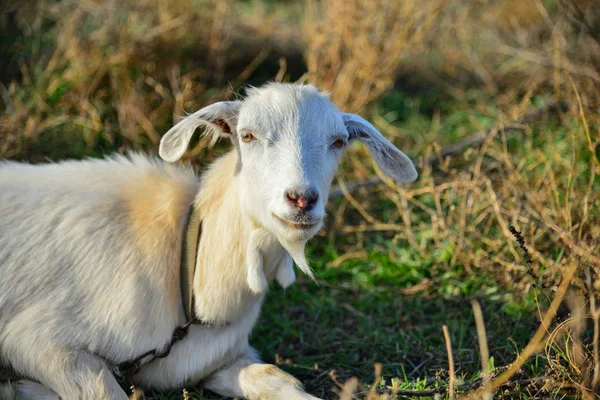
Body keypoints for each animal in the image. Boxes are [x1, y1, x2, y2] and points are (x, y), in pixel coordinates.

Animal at [0, 83, 418, 398]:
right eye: (246, 135)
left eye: (339, 141)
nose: (301, 199)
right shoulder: (40, 341)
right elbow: (104, 390)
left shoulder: (217, 360)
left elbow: (276, 378)